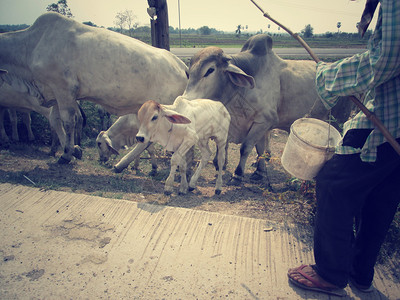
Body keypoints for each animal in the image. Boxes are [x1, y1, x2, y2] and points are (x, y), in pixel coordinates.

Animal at [0, 12, 188, 164]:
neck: (32, 43)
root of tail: (181, 65)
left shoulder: (63, 88)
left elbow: (68, 121)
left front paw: (67, 154)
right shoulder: (55, 93)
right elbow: (56, 120)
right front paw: (73, 150)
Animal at [182, 34, 354, 186]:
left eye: (210, 70)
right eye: (189, 73)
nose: (186, 100)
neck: (238, 91)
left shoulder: (264, 121)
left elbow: (246, 148)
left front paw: (238, 174)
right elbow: (258, 150)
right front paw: (259, 172)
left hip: (338, 120)